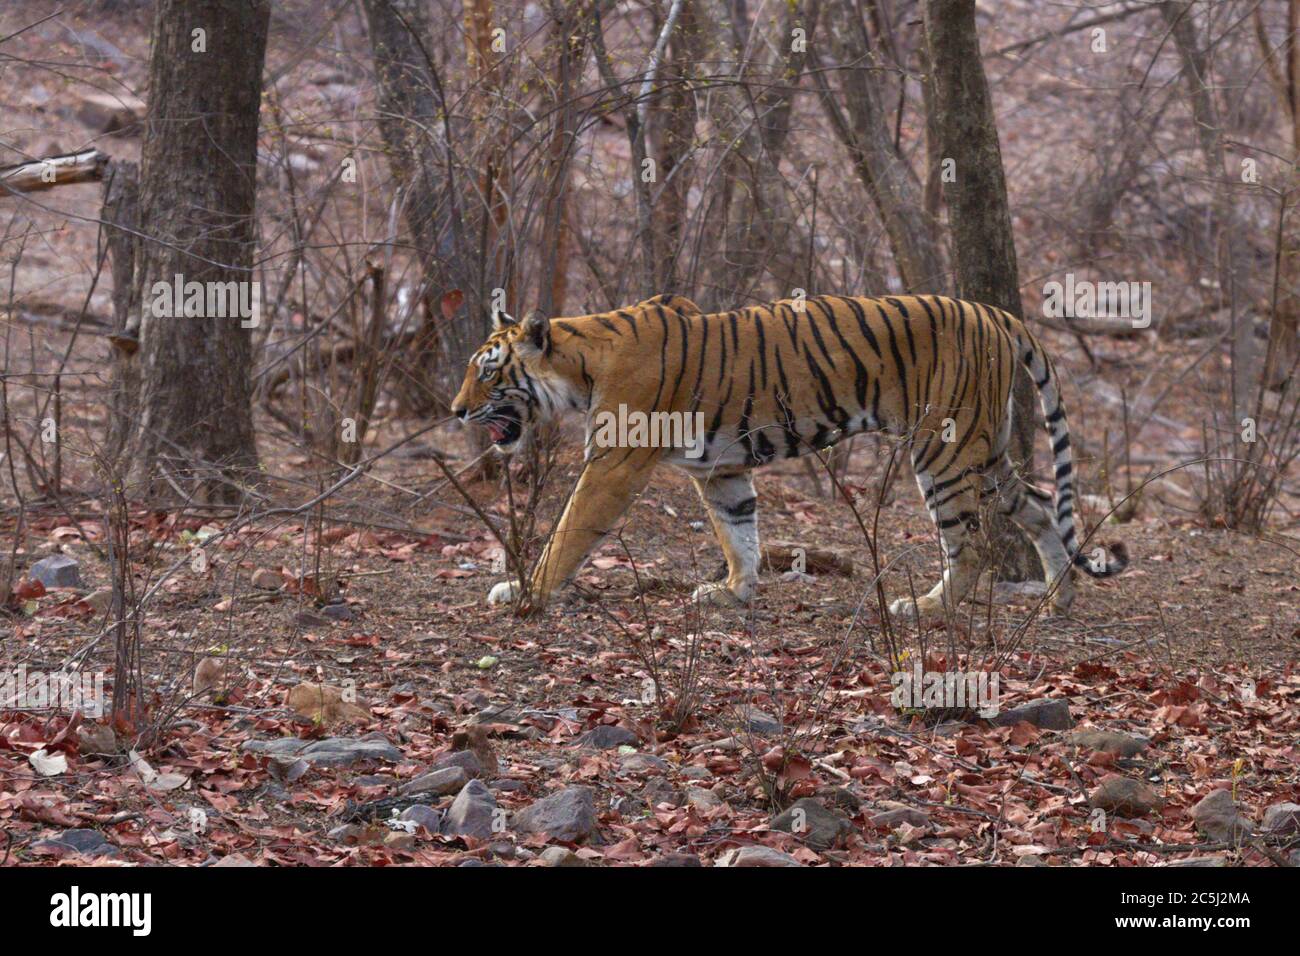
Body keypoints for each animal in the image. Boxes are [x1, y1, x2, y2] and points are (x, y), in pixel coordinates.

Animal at [452, 295, 1123, 616]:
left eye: (488, 374)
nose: (456, 410)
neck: (579, 365)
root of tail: (993, 311)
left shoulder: (614, 464)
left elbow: (568, 532)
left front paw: (527, 592)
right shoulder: (720, 468)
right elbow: (738, 531)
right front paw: (734, 592)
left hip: (945, 451)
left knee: (974, 544)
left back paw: (929, 608)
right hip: (989, 452)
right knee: (1040, 505)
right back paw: (1058, 599)